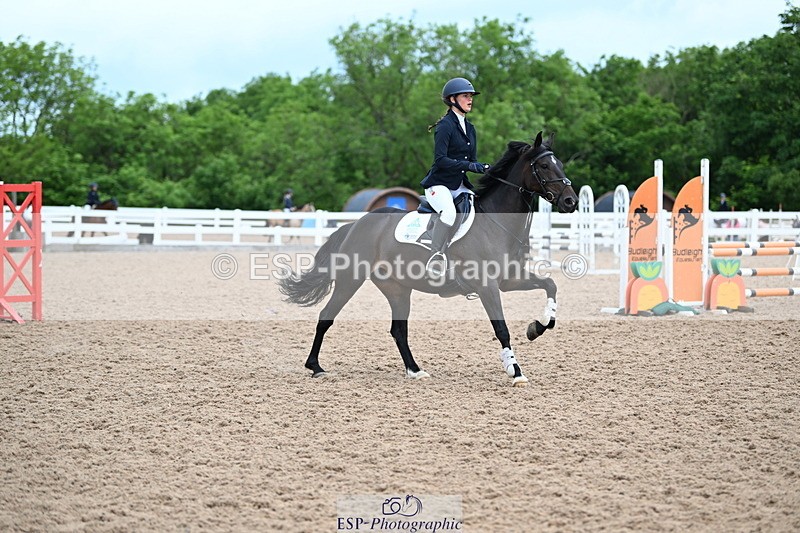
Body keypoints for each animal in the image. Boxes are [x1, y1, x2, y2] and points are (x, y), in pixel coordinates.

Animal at [279, 132, 578, 386]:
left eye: (560, 164)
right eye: (544, 167)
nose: (571, 202)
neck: (497, 223)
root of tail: (356, 224)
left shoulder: (509, 280)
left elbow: (550, 285)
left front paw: (538, 327)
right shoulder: (487, 287)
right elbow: (502, 329)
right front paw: (515, 371)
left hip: (397, 289)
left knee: (398, 331)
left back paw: (415, 370)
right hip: (350, 280)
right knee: (326, 317)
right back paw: (315, 366)